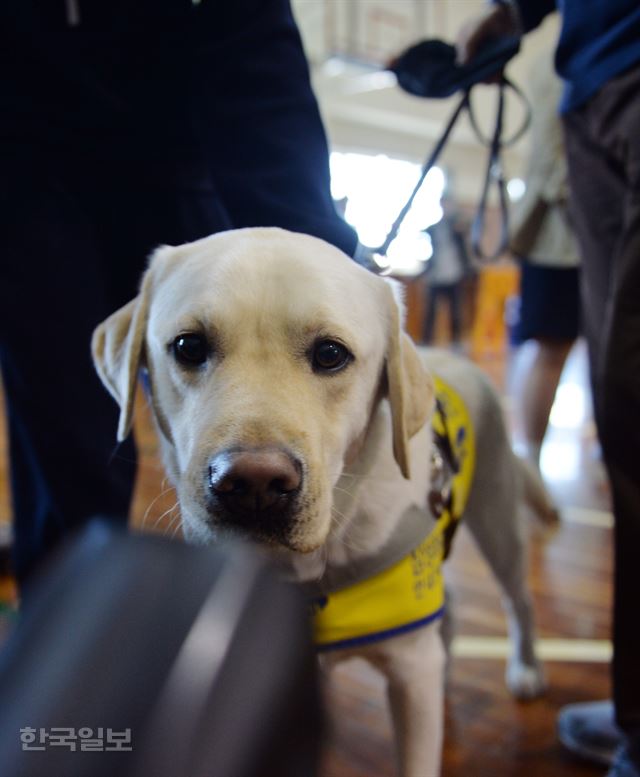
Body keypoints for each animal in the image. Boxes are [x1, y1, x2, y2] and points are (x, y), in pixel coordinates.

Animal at [92, 227, 552, 772]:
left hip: (499, 522)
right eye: (188, 346)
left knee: (519, 599)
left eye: (331, 354)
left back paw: (527, 669)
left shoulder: (410, 673)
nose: (253, 485)